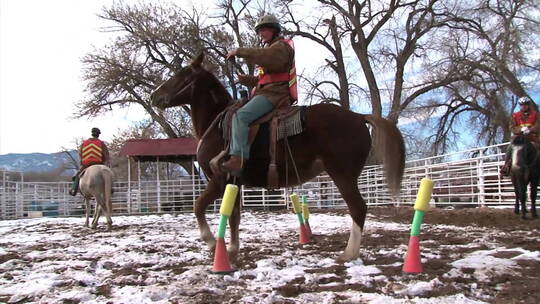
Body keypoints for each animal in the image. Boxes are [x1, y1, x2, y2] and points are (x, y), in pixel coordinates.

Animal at [149, 52, 404, 264]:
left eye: (181, 74)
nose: (154, 96)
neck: (218, 123)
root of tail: (359, 116)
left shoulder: (218, 178)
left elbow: (198, 206)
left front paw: (212, 243)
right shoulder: (234, 182)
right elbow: (234, 217)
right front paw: (232, 250)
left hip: (343, 175)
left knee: (358, 208)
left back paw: (348, 254)